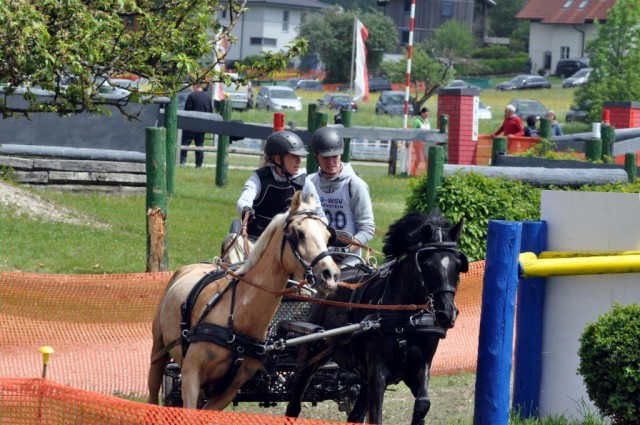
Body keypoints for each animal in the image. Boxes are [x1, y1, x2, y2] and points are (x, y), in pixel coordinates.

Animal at [149, 191, 340, 408]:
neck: (238, 316)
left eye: (327, 236)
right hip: (159, 350)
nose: (331, 275)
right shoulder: (191, 375)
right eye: (299, 233)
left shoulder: (228, 390)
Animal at [284, 210, 464, 424]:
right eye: (427, 265)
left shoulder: (420, 366)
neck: (407, 320)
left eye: (458, 265)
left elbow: (423, 404)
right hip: (311, 356)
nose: (446, 313)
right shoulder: (378, 372)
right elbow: (376, 415)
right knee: (294, 403)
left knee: (355, 414)